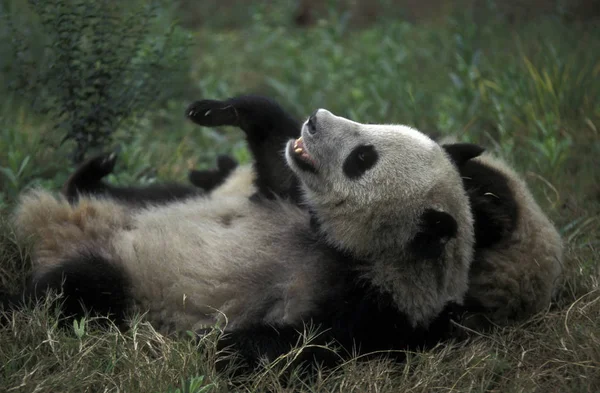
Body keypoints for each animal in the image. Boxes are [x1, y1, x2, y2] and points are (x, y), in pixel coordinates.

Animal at [1, 94, 482, 368]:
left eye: (363, 158)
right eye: (378, 128)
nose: (314, 119)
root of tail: (54, 228)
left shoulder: (371, 312)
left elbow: (290, 348)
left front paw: (209, 344)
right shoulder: (289, 200)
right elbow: (274, 162)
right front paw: (226, 109)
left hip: (124, 282)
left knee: (69, 290)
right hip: (152, 202)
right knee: (138, 196)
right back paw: (92, 174)